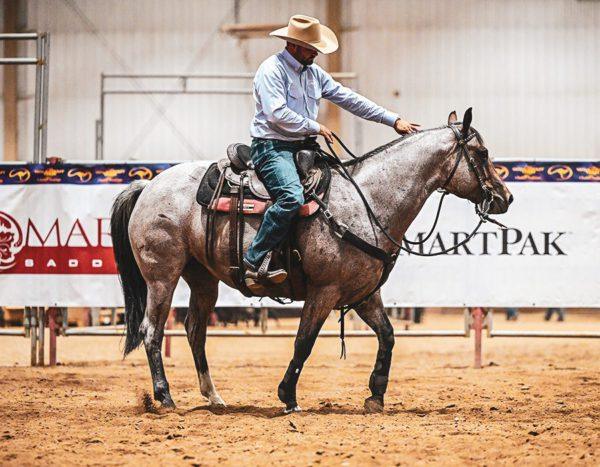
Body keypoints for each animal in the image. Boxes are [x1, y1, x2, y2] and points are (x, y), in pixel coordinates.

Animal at [110, 109, 513, 414]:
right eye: (482, 153)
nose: (505, 197)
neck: (367, 201)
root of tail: (148, 185)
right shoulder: (325, 291)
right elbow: (304, 341)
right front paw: (288, 396)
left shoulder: (364, 293)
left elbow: (388, 335)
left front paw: (375, 394)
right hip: (162, 275)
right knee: (152, 330)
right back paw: (164, 397)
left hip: (203, 278)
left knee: (195, 330)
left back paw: (213, 396)